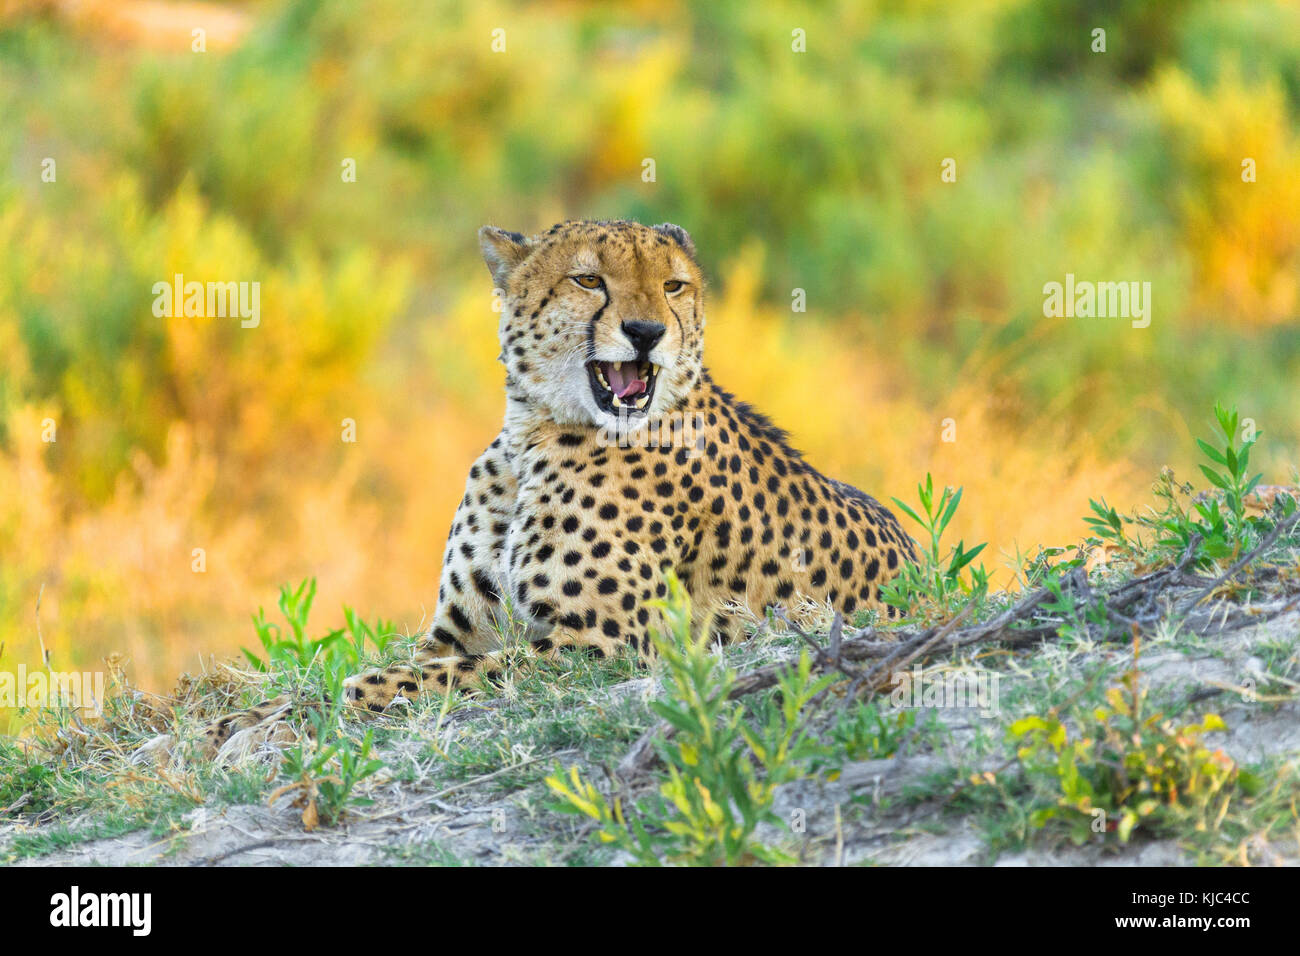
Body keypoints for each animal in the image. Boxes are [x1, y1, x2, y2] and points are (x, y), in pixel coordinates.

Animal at [205, 221, 915, 749]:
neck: (535, 432)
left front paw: (332, 704)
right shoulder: (457, 632)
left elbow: (423, 675)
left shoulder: (600, 648)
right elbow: (373, 670)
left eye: (673, 285)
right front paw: (238, 722)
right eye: (589, 279)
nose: (647, 333)